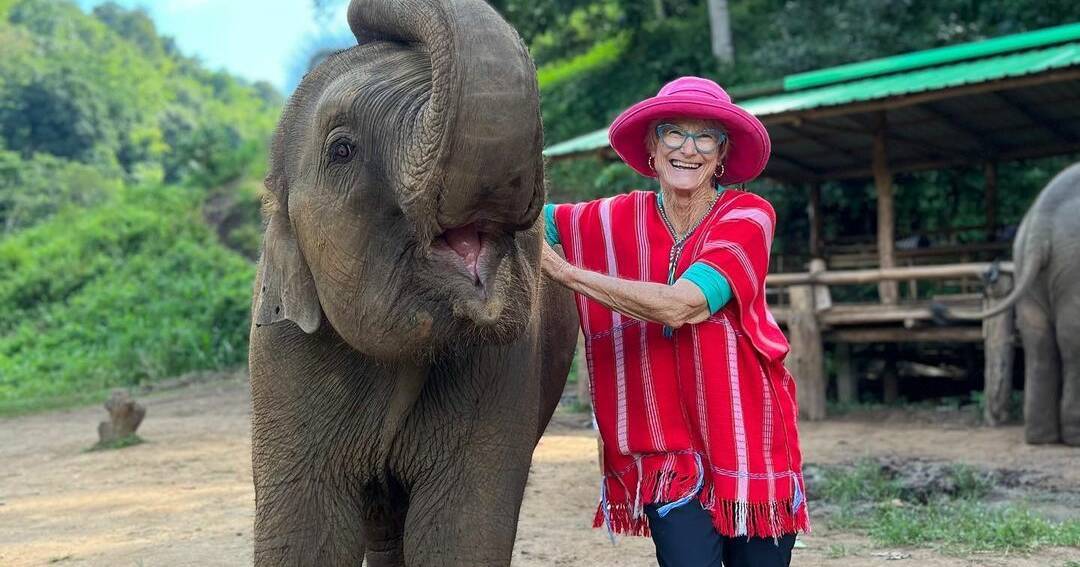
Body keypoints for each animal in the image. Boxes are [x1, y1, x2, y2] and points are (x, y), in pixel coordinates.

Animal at [246, 0, 578, 564]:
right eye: (341, 150)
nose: (355, 24)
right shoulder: (280, 357)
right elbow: (307, 533)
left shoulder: (506, 366)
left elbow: (460, 531)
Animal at [945, 162, 1080, 446]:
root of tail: (1042, 222)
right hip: (1073, 268)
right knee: (1070, 338)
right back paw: (1072, 438)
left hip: (1024, 258)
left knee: (1038, 340)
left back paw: (1041, 438)